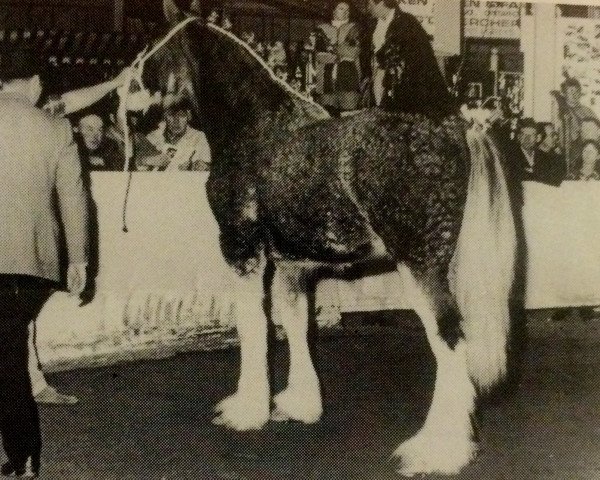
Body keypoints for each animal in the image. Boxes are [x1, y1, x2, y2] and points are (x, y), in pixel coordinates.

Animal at [130, 2, 516, 476]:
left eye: (154, 43)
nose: (128, 99)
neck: (256, 126)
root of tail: (460, 131)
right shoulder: (292, 265)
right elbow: (296, 323)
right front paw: (299, 403)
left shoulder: (243, 251)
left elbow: (253, 324)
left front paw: (246, 409)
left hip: (420, 267)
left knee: (449, 339)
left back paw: (435, 450)